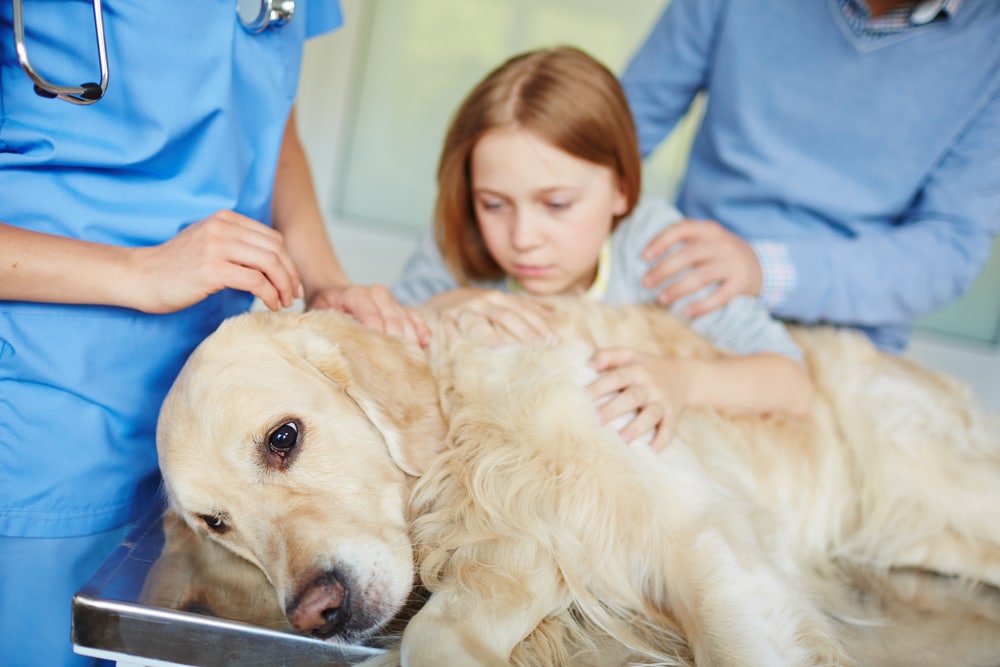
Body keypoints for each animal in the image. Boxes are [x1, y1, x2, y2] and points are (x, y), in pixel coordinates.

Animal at [154, 298, 1000, 667]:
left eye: (283, 438)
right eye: (216, 523)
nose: (315, 612)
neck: (469, 436)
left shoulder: (689, 531)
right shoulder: (519, 552)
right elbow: (434, 634)